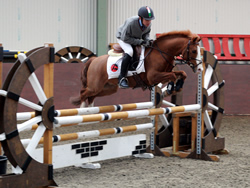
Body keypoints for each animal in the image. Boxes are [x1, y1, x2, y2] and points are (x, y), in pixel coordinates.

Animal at [70, 30, 201, 106]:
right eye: (194, 51)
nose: (199, 69)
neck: (160, 53)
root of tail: (94, 60)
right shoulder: (153, 77)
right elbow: (173, 76)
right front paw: (169, 89)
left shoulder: (164, 73)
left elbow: (182, 73)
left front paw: (177, 87)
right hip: (95, 86)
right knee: (83, 93)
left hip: (108, 88)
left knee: (90, 97)